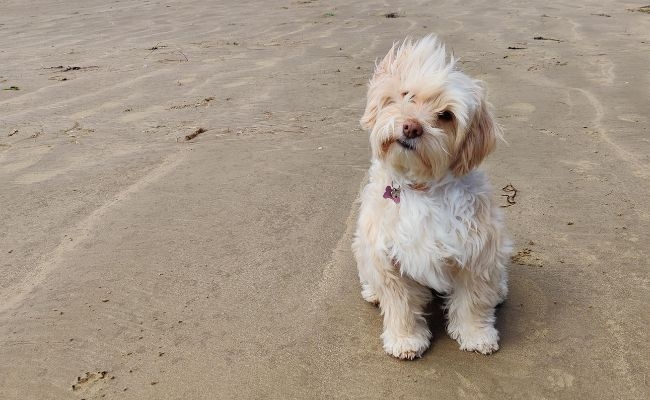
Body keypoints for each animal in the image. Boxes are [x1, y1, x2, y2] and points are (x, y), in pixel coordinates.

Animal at [352, 35, 508, 360]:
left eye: (445, 115)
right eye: (407, 94)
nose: (411, 127)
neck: (420, 189)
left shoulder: (478, 251)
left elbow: (473, 301)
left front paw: (477, 335)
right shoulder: (387, 255)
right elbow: (400, 304)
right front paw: (405, 339)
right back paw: (372, 291)